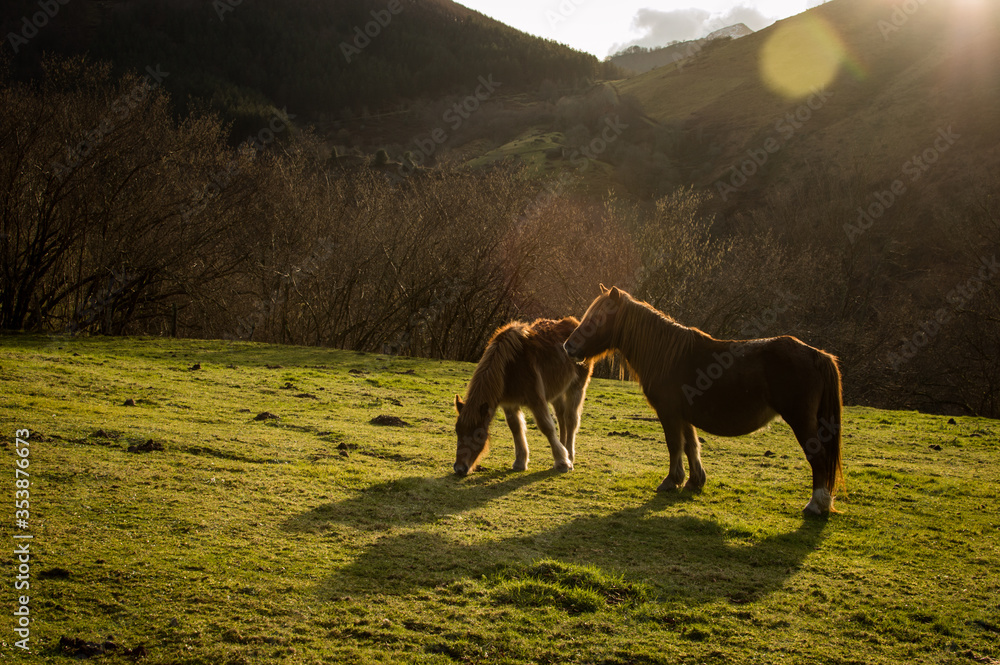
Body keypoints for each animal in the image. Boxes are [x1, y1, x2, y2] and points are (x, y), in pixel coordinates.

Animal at [453, 317, 595, 476]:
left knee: (571, 419)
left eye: (478, 435)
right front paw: (520, 462)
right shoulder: (509, 404)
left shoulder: (536, 400)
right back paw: (564, 448)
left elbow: (546, 427)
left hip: (576, 387)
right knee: (561, 417)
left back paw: (569, 455)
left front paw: (562, 462)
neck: (510, 367)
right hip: (557, 392)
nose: (459, 468)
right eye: (457, 430)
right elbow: (516, 428)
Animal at [564, 285, 844, 515]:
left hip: (801, 421)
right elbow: (691, 446)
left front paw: (671, 481)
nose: (569, 347)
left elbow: (674, 445)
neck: (667, 356)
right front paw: (694, 481)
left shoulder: (669, 413)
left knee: (817, 457)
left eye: (597, 318)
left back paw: (816, 505)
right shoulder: (684, 415)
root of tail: (818, 354)